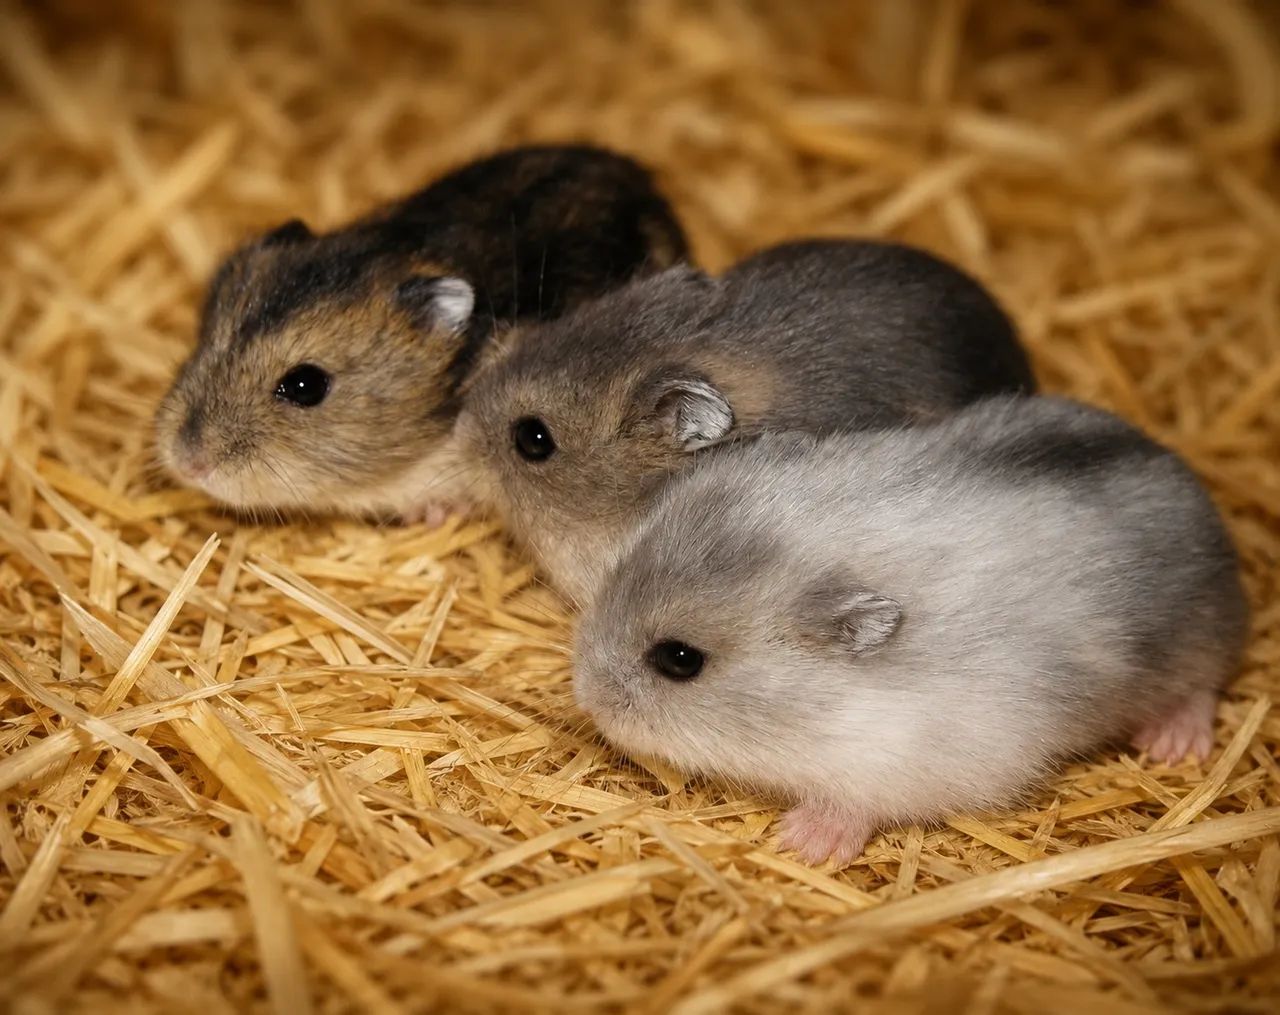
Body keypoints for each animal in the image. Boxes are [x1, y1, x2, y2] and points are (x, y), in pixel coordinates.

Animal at [573, 396, 1248, 865]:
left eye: (680, 659)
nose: (586, 697)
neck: (829, 706)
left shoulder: (915, 759)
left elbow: (855, 802)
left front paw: (799, 842)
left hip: (1199, 642)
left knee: (1200, 688)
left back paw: (1173, 745)